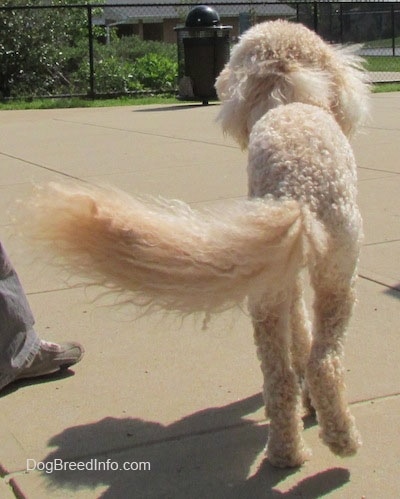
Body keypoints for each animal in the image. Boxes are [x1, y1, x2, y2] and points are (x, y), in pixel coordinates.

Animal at [28, 21, 370, 468]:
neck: (288, 98)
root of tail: (298, 193)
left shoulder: (285, 276)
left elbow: (298, 342)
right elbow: (304, 339)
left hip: (280, 284)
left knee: (279, 377)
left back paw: (286, 451)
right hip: (337, 275)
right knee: (323, 360)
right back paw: (340, 439)